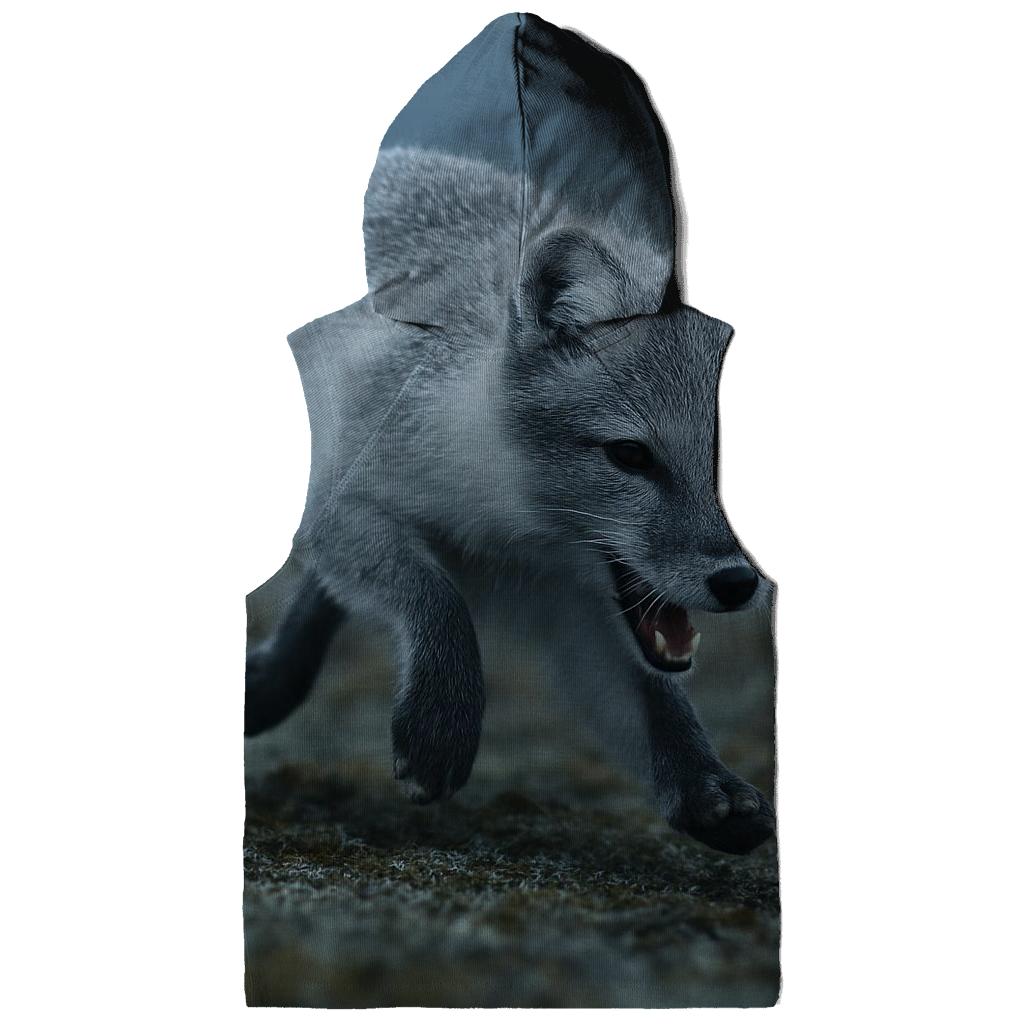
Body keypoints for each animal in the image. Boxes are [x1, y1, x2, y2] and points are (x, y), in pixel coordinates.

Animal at [245, 14, 776, 856]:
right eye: (630, 456)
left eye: (730, 463)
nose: (737, 582)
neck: (502, 528)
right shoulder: (342, 500)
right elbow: (431, 597)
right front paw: (440, 728)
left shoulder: (572, 600)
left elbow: (653, 701)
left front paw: (705, 788)